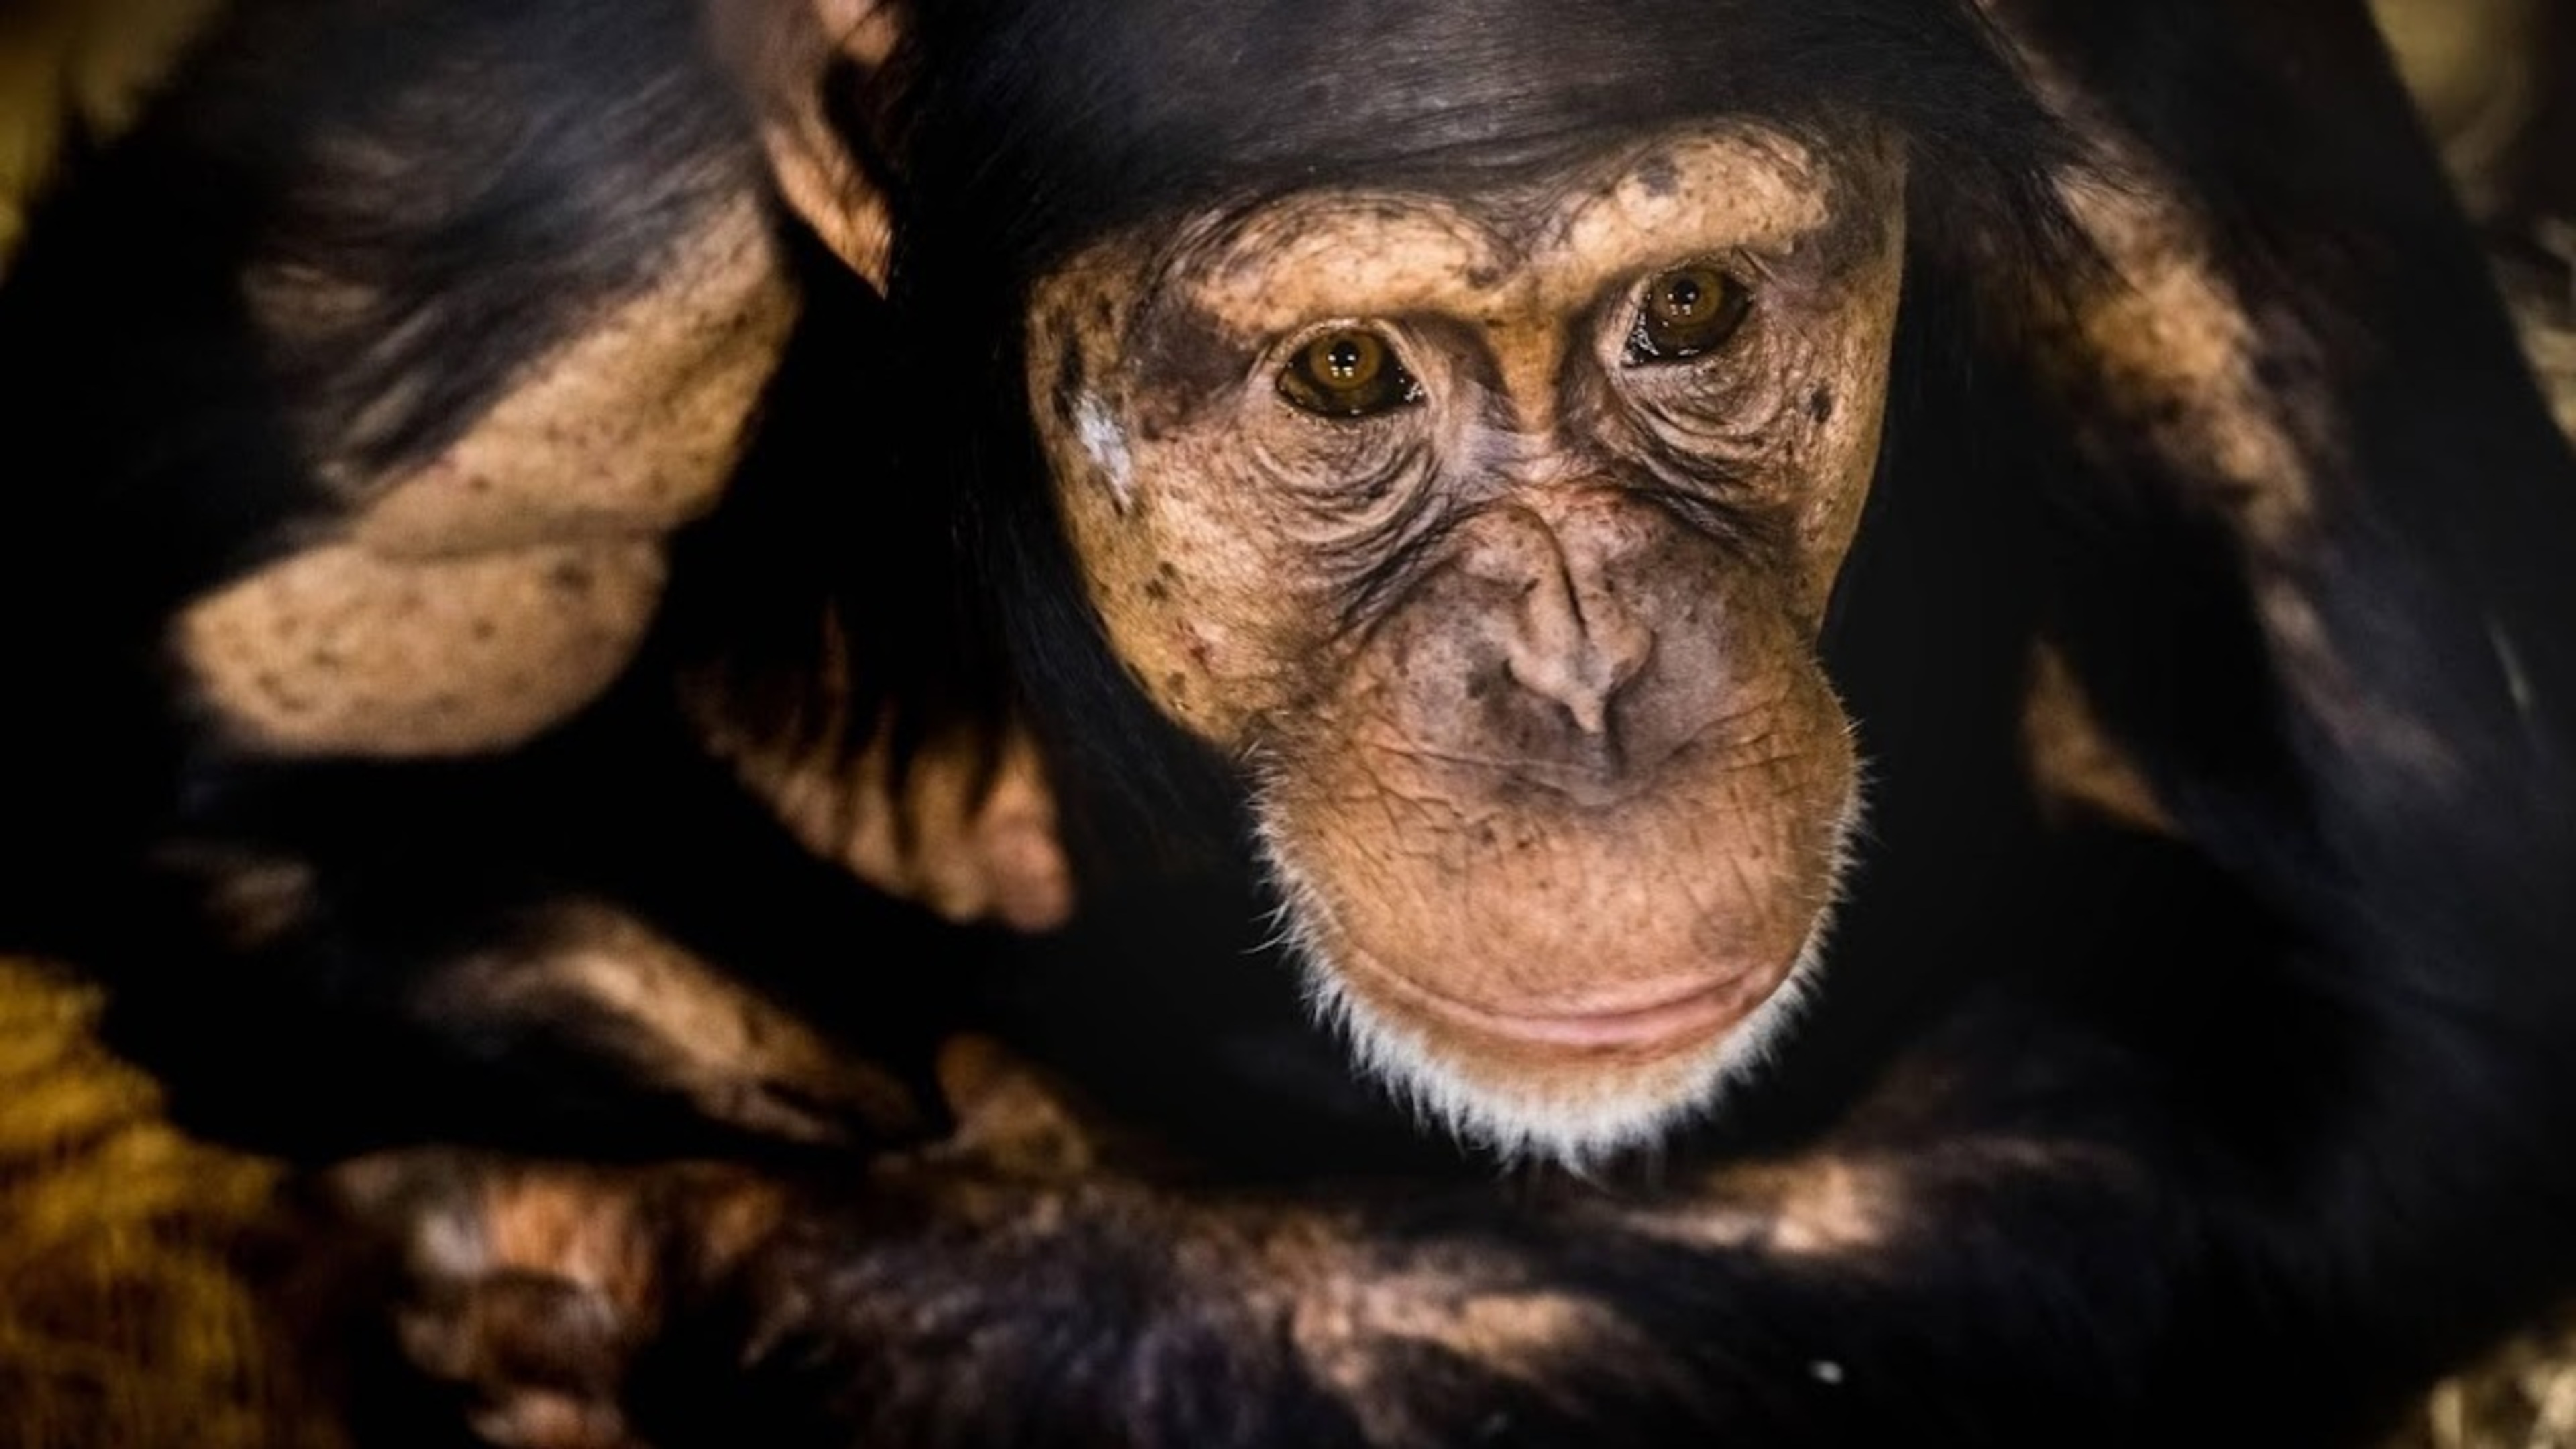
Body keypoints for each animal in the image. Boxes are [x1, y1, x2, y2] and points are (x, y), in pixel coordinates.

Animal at [4, 0, 2576, 1445]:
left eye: (1690, 313)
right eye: (1345, 372)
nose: (1584, 673)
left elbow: (2401, 1023)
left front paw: (767, 1287)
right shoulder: (521, 203)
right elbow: (202, 763)